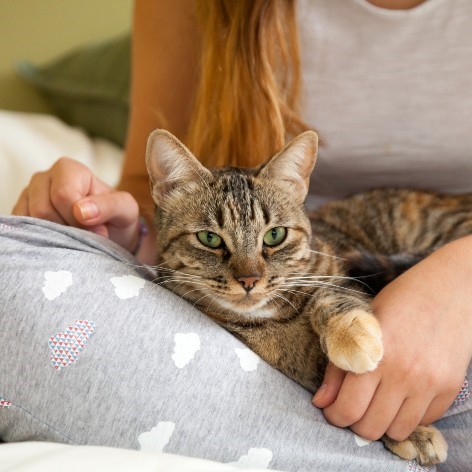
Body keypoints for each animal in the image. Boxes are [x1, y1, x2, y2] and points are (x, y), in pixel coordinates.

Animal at [146, 128, 470, 464]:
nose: (250, 279)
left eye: (274, 235)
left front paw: (351, 335)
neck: (273, 316)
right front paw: (413, 433)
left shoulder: (338, 270)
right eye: (209, 238)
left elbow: (329, 293)